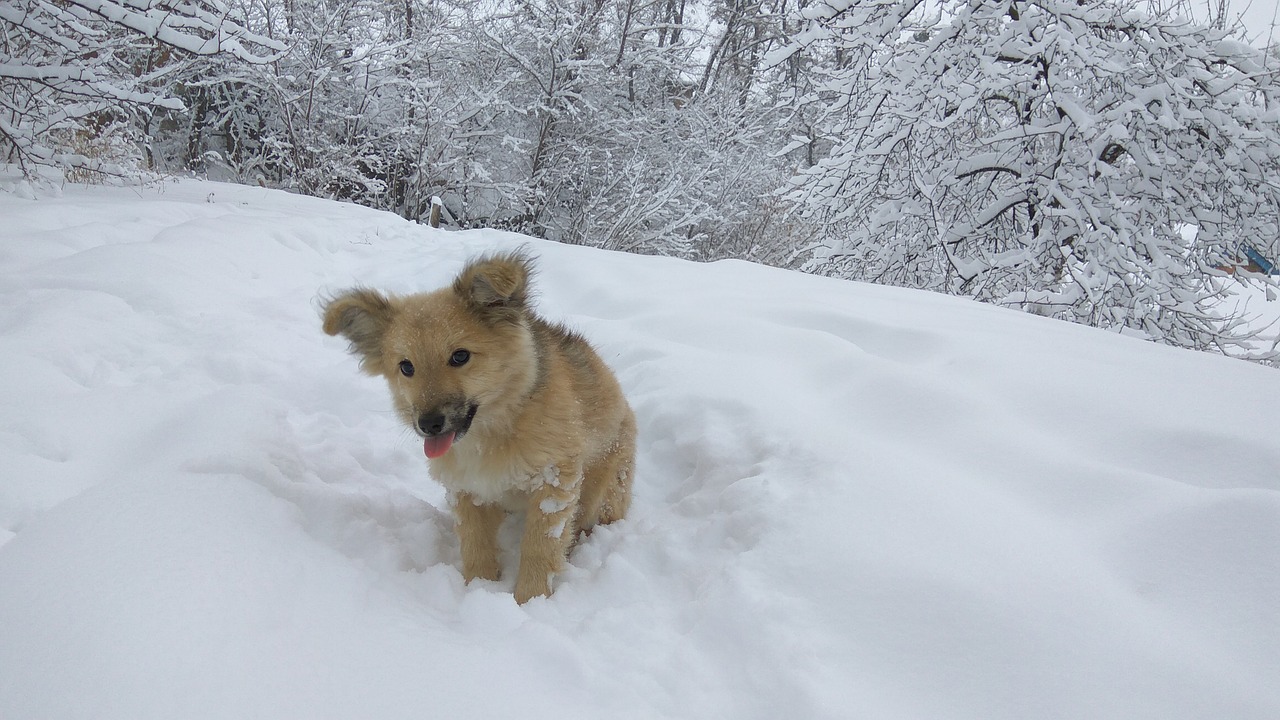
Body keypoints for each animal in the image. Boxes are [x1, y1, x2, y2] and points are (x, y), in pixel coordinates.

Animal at [325, 252, 634, 599]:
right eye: (406, 367)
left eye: (460, 356)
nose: (428, 424)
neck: (492, 433)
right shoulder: (466, 488)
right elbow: (475, 543)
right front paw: (479, 588)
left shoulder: (554, 482)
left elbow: (539, 548)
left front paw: (530, 599)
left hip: (603, 490)